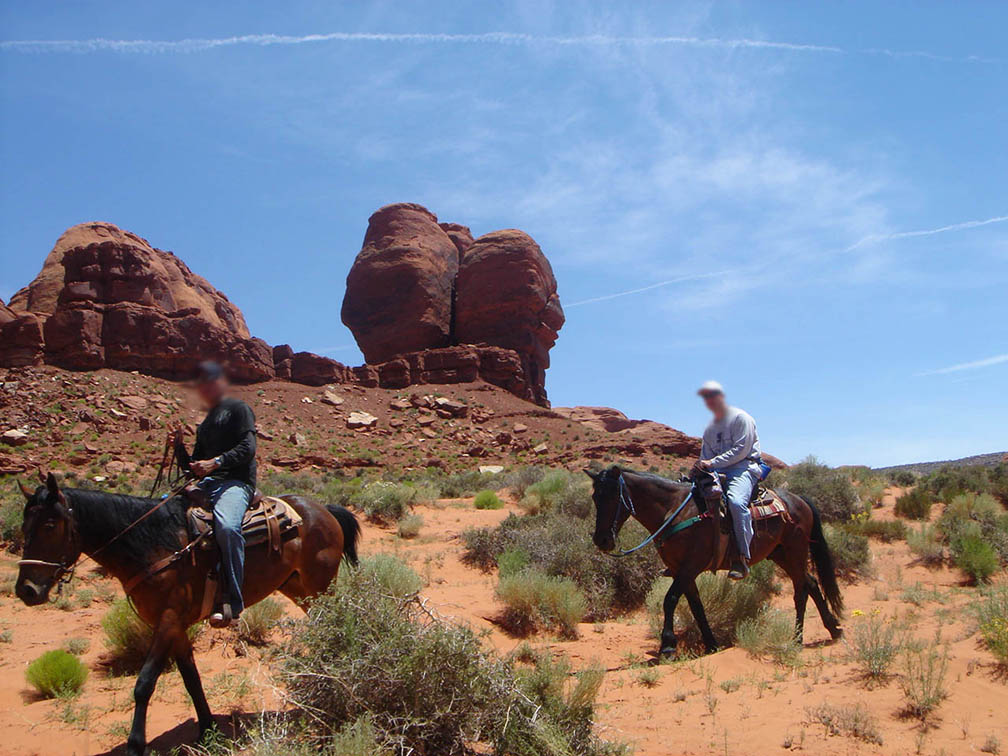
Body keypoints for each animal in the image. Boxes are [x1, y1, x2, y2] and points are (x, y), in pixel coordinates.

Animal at [13, 473, 358, 756]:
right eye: (24, 526)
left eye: (49, 526)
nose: (26, 590)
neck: (152, 545)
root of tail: (325, 510)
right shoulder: (175, 626)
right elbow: (190, 678)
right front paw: (207, 729)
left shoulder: (167, 620)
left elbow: (144, 683)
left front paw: (135, 745)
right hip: (297, 588)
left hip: (320, 586)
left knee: (336, 623)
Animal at [588, 465, 846, 653]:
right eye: (594, 498)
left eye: (613, 497)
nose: (601, 540)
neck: (674, 510)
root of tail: (798, 499)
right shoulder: (680, 569)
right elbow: (696, 606)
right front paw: (711, 644)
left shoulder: (690, 566)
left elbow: (670, 600)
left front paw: (668, 645)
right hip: (781, 554)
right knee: (811, 582)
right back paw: (833, 628)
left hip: (796, 550)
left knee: (801, 591)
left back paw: (797, 639)